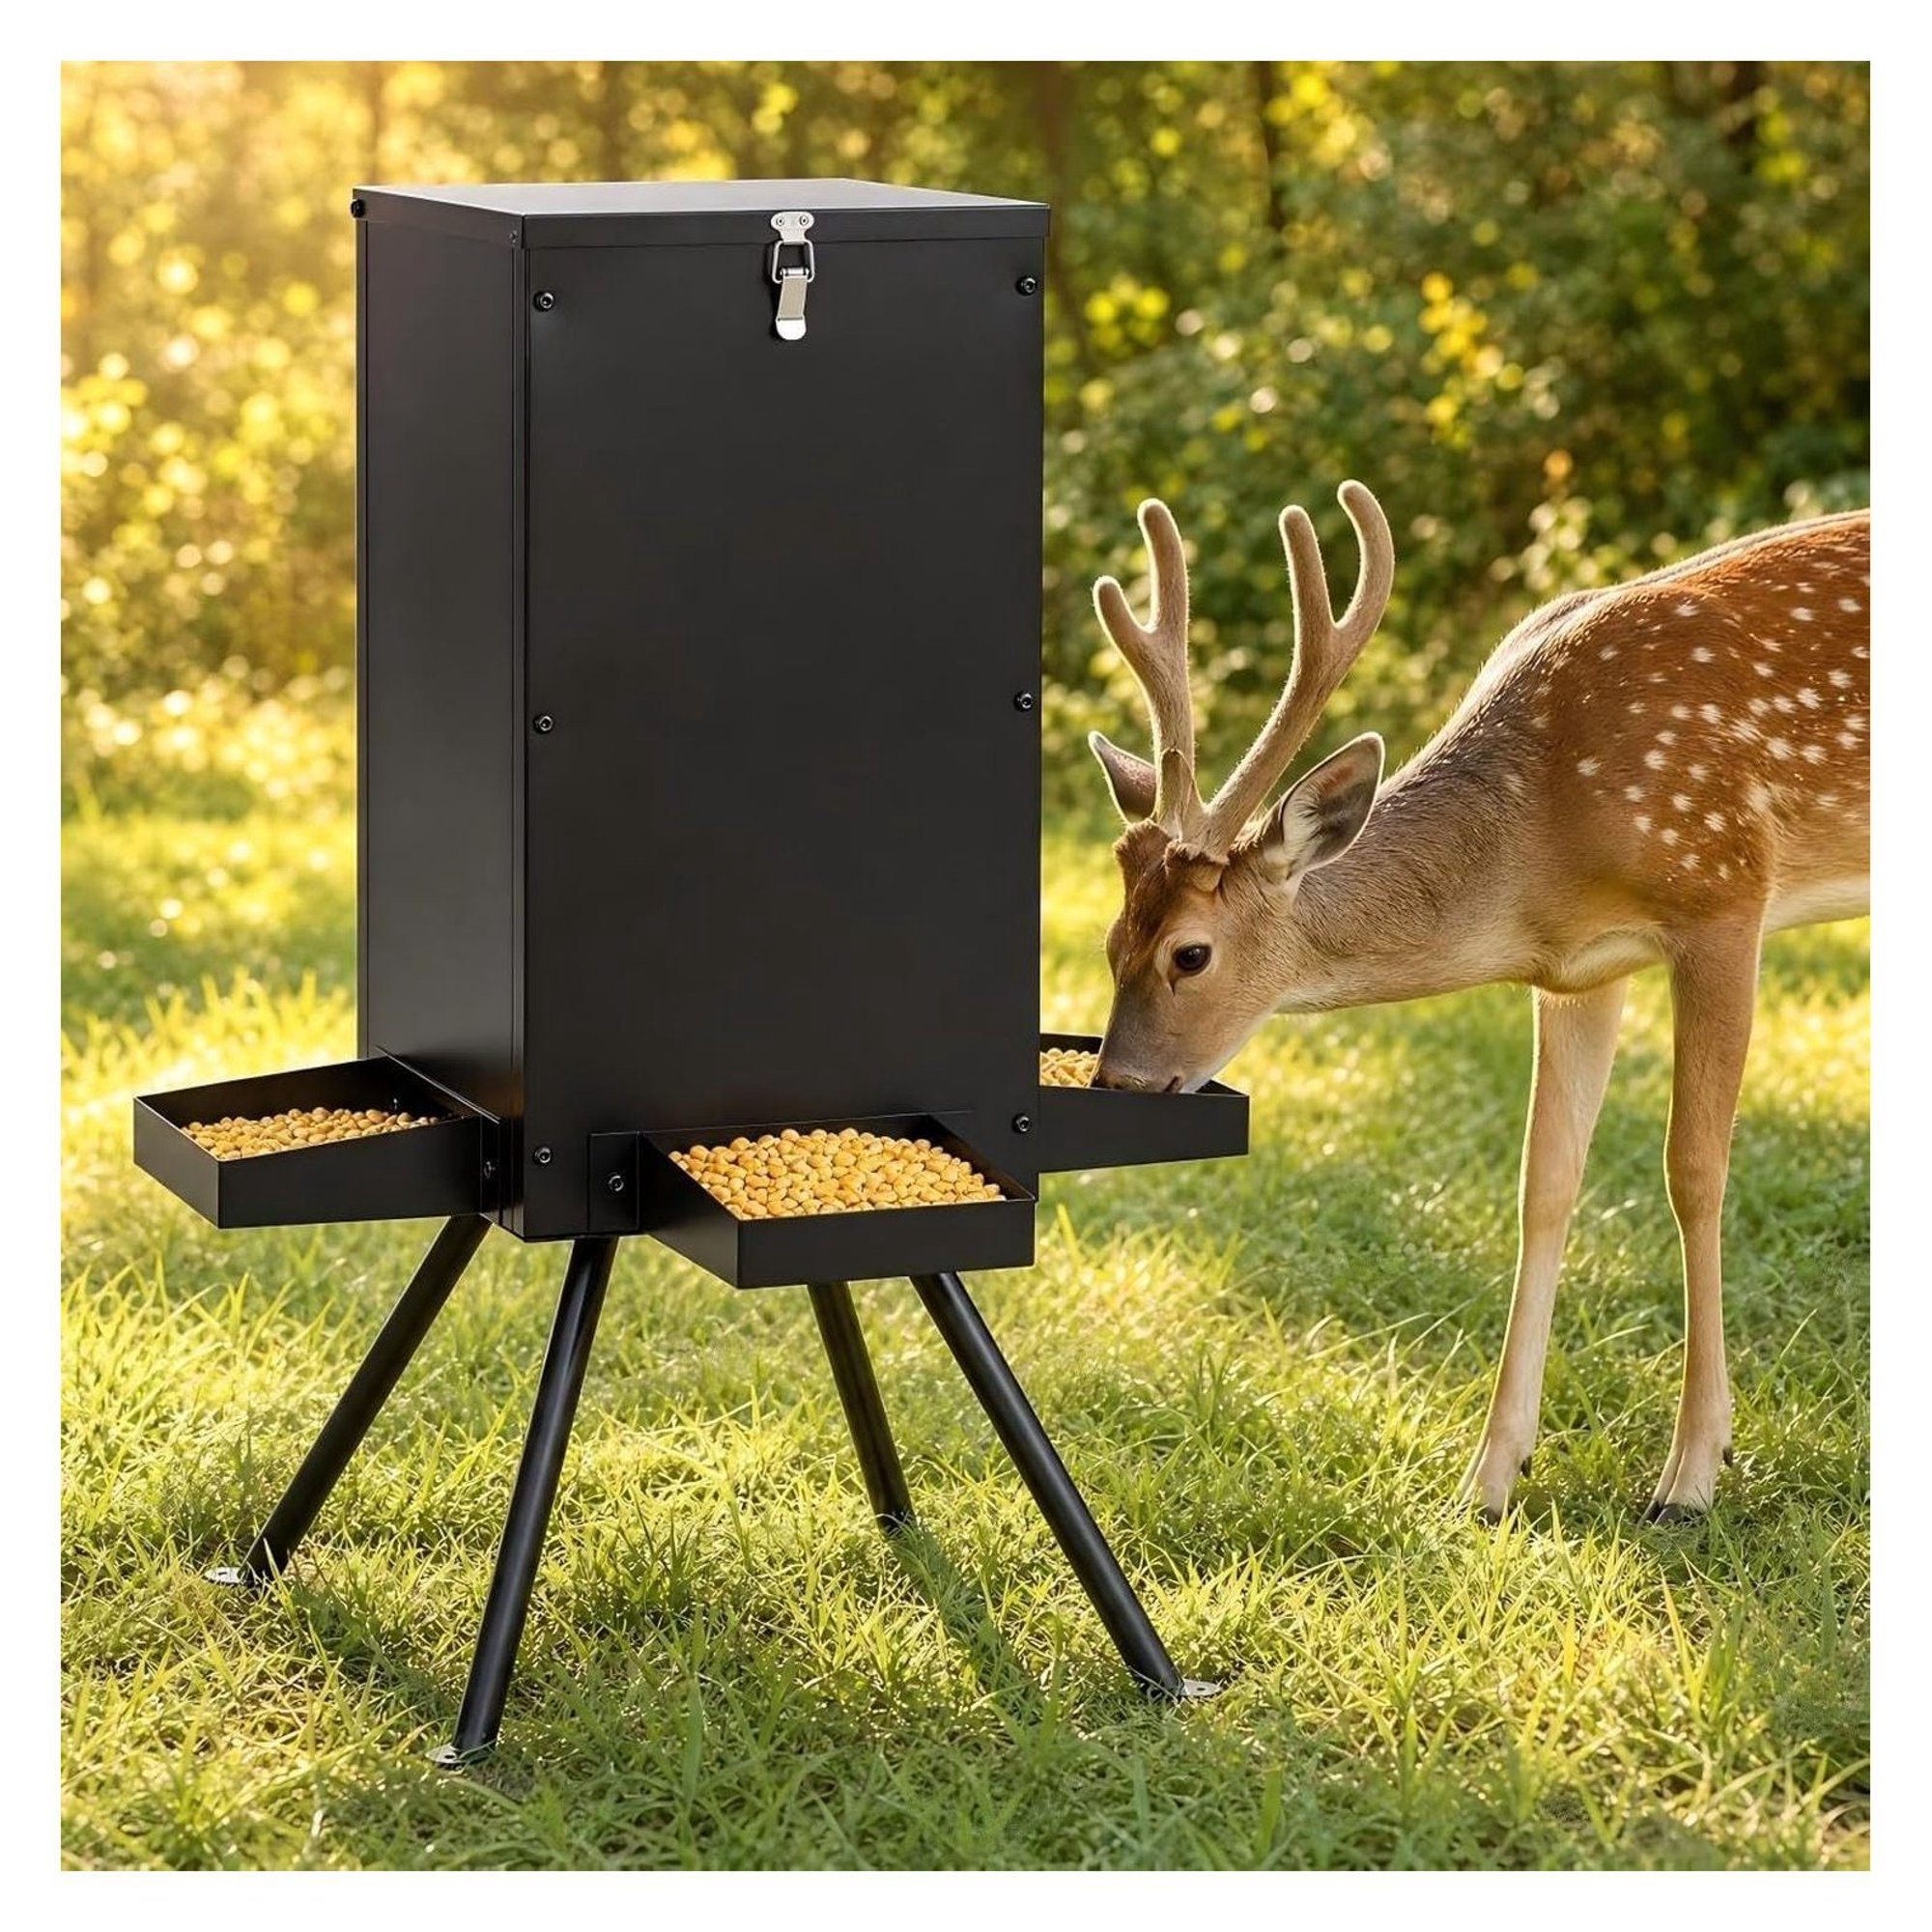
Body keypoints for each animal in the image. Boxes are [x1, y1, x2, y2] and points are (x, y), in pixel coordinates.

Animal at [1084, 481, 1870, 1519]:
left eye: (1191, 953)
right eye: (1110, 942)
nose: (1118, 1084)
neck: (1540, 838)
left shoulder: (1722, 894)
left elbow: (1694, 1173)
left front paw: (1691, 1474)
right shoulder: (1581, 971)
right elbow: (1547, 1184)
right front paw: (1490, 1478)